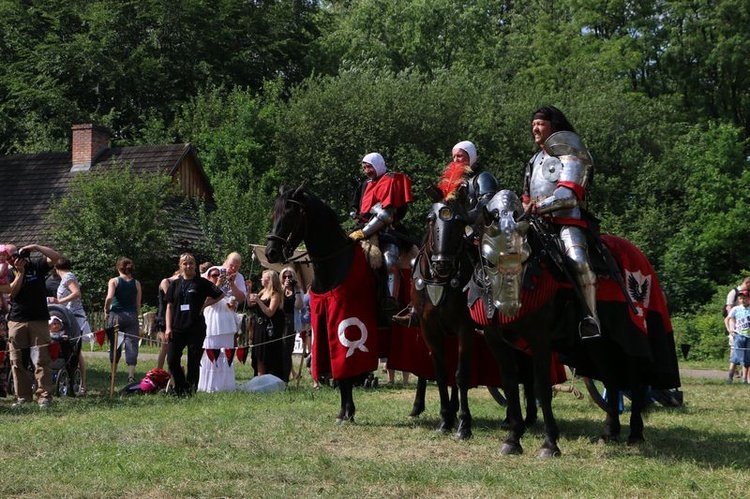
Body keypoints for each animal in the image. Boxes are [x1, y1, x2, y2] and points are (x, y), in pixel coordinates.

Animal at [266, 186, 382, 424]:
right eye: (274, 214)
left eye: (290, 215)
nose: (270, 252)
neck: (335, 261)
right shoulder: (323, 322)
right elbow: (336, 372)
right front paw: (344, 412)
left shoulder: (345, 324)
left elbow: (346, 371)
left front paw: (348, 412)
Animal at [478, 190, 684, 458]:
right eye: (489, 261)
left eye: (523, 259)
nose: (509, 307)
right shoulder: (496, 341)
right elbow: (511, 385)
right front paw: (513, 439)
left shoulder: (539, 339)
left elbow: (542, 387)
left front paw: (550, 443)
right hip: (599, 346)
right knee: (612, 378)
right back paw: (610, 432)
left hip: (630, 336)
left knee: (635, 380)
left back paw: (635, 434)